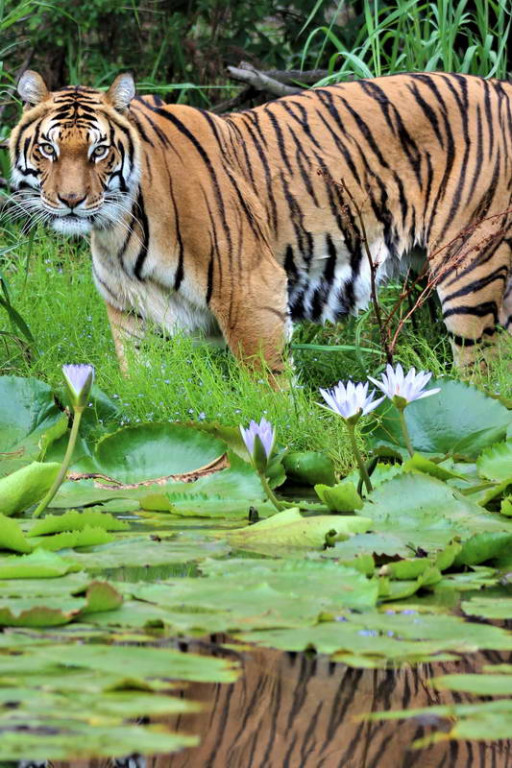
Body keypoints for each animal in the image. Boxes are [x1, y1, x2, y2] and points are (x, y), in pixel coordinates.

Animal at [9, 70, 512, 376]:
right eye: (49, 149)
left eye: (99, 150)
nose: (71, 201)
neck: (116, 229)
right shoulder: (132, 321)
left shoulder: (250, 293)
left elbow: (269, 392)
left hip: (470, 268)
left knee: (483, 379)